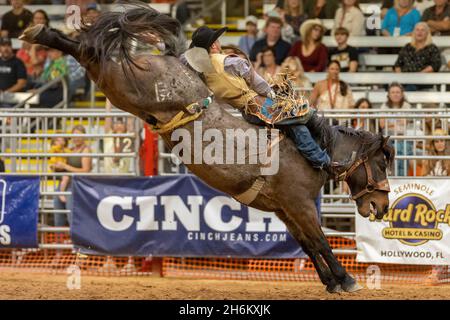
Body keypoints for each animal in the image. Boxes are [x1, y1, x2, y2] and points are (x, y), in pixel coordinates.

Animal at [20, 2, 394, 292]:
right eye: (382, 163)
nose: (382, 205)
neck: (314, 149)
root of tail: (170, 58)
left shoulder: (284, 210)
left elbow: (307, 245)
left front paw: (331, 282)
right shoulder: (299, 204)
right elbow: (319, 242)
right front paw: (347, 280)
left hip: (114, 84)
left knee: (88, 54)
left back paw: (40, 33)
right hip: (129, 80)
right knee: (89, 50)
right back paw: (38, 33)